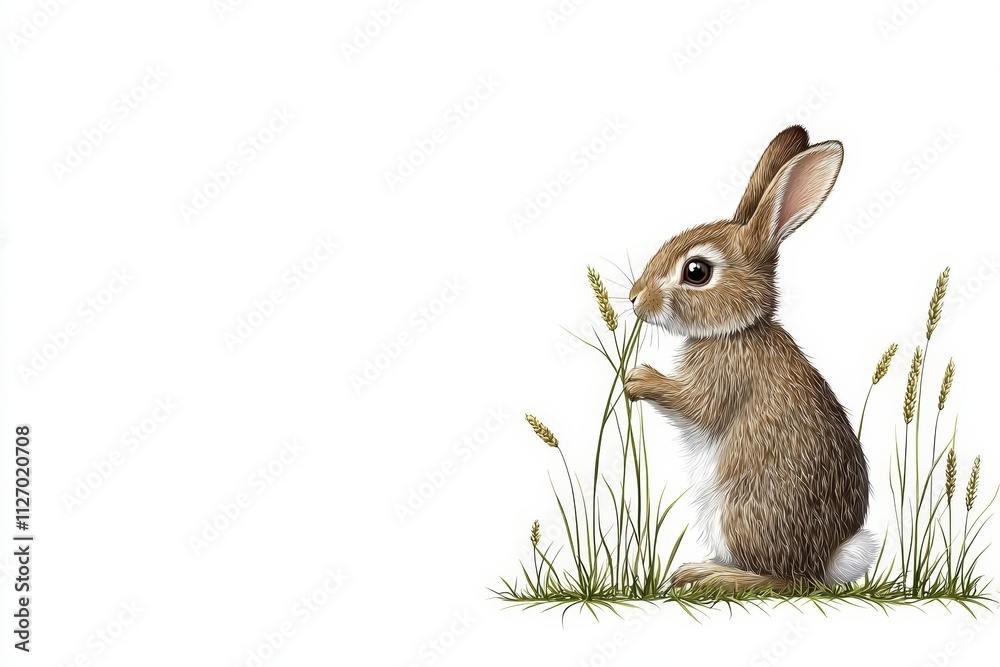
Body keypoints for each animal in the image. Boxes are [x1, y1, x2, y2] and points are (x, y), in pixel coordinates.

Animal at [623, 125, 878, 593]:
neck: (737, 329)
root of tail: (828, 560)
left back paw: (703, 575)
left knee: (781, 582)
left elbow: (693, 405)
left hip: (736, 511)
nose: (635, 299)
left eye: (696, 272)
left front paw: (638, 378)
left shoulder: (725, 380)